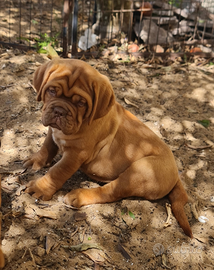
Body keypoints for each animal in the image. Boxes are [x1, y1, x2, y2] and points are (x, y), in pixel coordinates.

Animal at [24, 58, 193, 237]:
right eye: (51, 91)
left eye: (81, 102)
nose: (59, 111)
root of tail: (175, 173)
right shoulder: (53, 131)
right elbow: (47, 145)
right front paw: (36, 160)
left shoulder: (75, 154)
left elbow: (57, 171)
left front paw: (40, 187)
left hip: (139, 171)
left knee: (111, 192)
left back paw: (79, 195)